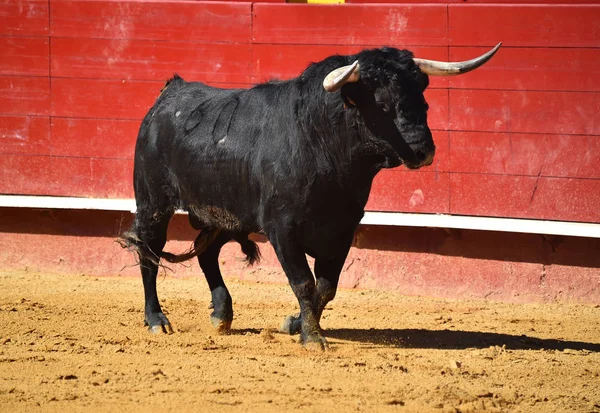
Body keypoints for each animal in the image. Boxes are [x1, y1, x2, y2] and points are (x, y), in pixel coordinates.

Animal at [119, 44, 500, 348]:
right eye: (381, 103)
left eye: (422, 97)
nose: (424, 151)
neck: (325, 148)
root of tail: (171, 92)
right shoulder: (282, 229)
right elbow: (304, 283)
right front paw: (313, 338)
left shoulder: (343, 230)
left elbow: (325, 288)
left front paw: (296, 324)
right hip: (153, 203)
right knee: (149, 254)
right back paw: (157, 320)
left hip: (227, 214)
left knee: (207, 253)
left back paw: (221, 315)